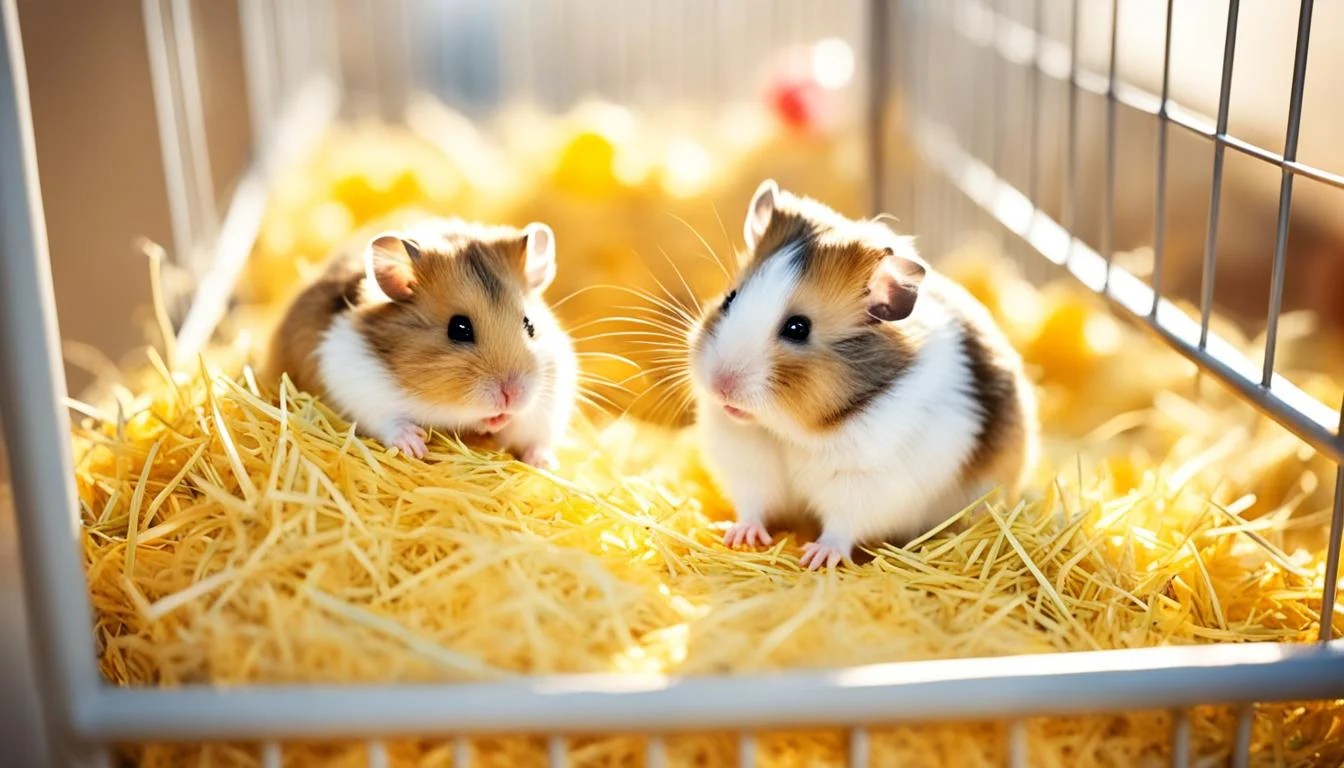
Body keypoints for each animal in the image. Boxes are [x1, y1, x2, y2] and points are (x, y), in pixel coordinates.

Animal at [264, 217, 577, 468]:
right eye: (459, 329)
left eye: (530, 325)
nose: (511, 396)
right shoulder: (356, 382)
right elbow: (388, 420)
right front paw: (416, 446)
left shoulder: (550, 402)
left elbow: (536, 437)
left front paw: (544, 463)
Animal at [689, 180, 1038, 569]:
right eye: (729, 299)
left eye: (798, 328)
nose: (720, 386)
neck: (792, 431)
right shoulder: (748, 463)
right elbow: (753, 505)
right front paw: (739, 537)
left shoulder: (866, 483)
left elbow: (842, 526)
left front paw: (817, 558)